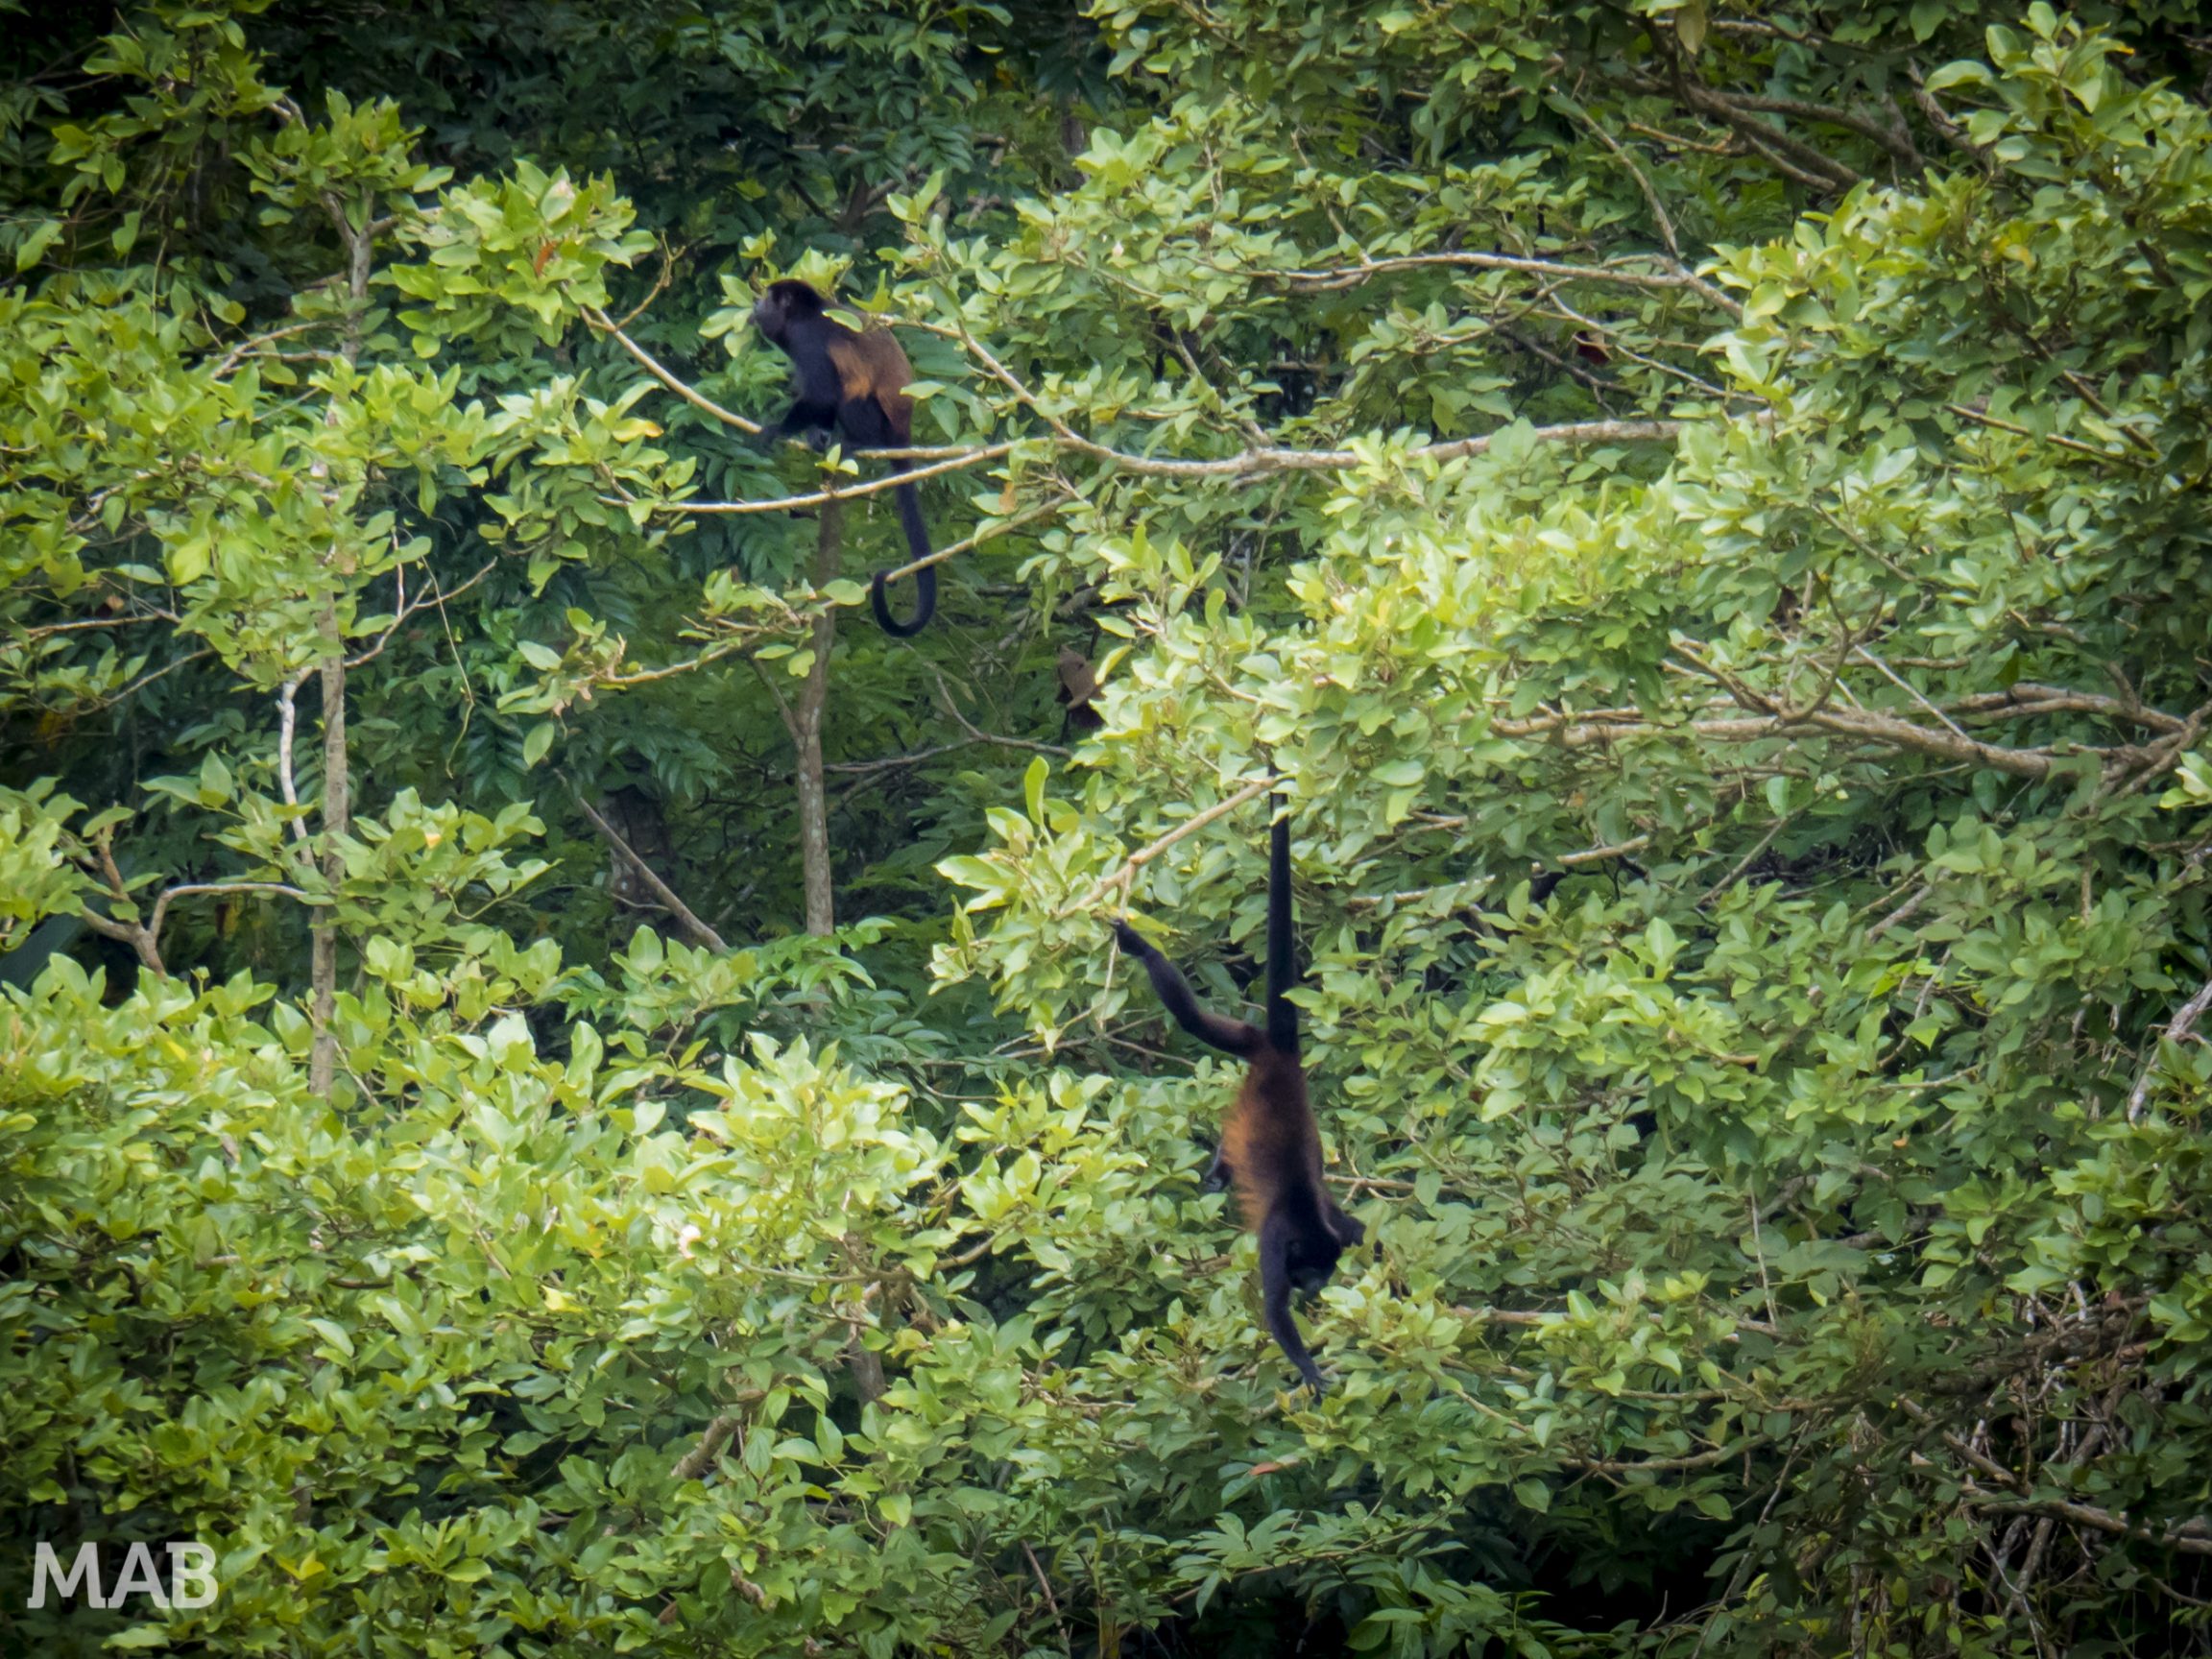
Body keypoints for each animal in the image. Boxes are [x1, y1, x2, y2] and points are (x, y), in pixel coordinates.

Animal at [751, 279, 935, 636]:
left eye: (767, 298)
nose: (754, 304)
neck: (805, 314)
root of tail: (903, 430)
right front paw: (816, 433)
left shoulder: (807, 340)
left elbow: (823, 393)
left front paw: (778, 428)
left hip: (880, 421)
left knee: (851, 395)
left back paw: (858, 441)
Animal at [1111, 795, 1365, 1392]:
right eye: (1308, 1271)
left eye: (1326, 1272)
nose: (1318, 1289)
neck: (1303, 1219)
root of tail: (1282, 1054)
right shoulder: (1275, 1238)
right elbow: (1272, 1307)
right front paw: (1309, 1368)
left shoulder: (1330, 1223)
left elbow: (1357, 1229)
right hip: (1248, 1039)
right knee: (1192, 1019)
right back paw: (1142, 950)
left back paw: (1221, 1168)